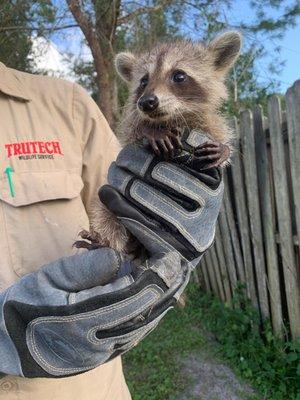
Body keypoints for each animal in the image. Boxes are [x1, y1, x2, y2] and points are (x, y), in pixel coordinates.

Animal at [75, 32, 241, 255]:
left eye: (179, 76)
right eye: (144, 80)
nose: (146, 102)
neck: (171, 118)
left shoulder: (206, 123)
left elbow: (219, 132)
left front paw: (224, 149)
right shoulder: (131, 127)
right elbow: (131, 130)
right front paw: (150, 131)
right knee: (105, 214)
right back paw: (106, 240)